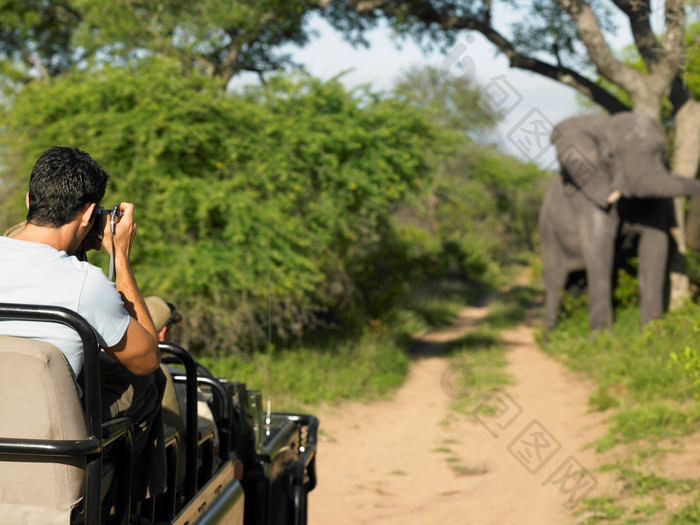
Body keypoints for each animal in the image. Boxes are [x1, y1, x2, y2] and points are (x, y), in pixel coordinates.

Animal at [540, 111, 700, 330]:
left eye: (662, 155)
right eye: (610, 157)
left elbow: (655, 245)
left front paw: (652, 330)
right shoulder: (591, 196)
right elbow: (600, 247)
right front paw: (602, 335)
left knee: (576, 283)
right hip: (548, 230)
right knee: (554, 282)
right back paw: (549, 334)